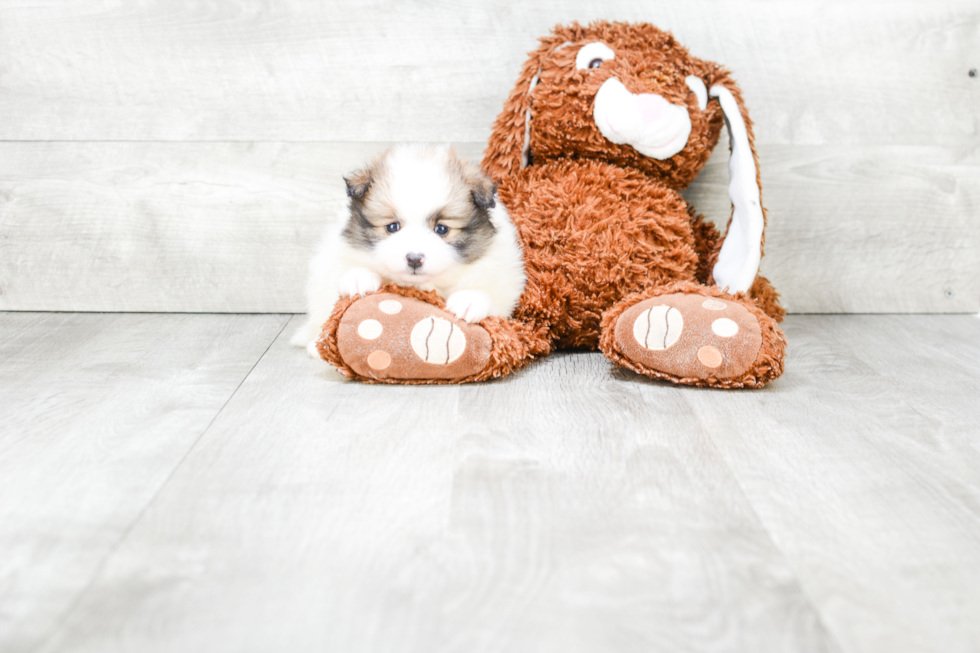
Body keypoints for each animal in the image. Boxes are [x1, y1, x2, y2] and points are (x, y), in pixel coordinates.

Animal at [292, 144, 528, 356]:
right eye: (392, 227)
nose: (414, 259)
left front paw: (469, 300)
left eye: (441, 229)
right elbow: (343, 274)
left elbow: (491, 293)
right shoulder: (333, 258)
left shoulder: (503, 273)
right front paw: (359, 278)